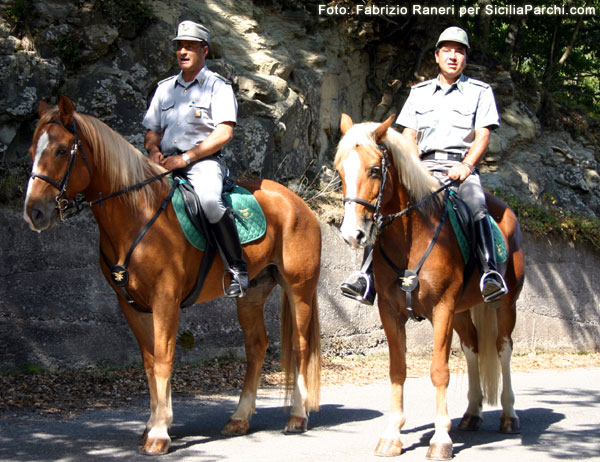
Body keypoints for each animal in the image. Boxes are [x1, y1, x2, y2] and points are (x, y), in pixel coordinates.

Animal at [23, 96, 324, 454]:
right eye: (32, 150)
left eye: (60, 150)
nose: (34, 212)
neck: (136, 215)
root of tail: (298, 204)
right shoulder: (131, 305)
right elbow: (150, 362)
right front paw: (153, 424)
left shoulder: (165, 299)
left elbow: (165, 359)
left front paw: (159, 433)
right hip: (251, 295)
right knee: (256, 346)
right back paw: (239, 418)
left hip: (299, 290)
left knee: (301, 347)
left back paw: (297, 417)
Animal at [336, 113, 524, 460]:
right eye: (341, 169)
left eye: (374, 170)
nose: (353, 234)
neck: (411, 237)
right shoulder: (391, 312)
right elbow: (398, 369)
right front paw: (392, 435)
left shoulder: (442, 308)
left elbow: (439, 371)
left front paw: (440, 440)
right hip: (463, 312)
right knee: (473, 348)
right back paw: (472, 414)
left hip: (504, 305)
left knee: (503, 349)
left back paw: (509, 416)